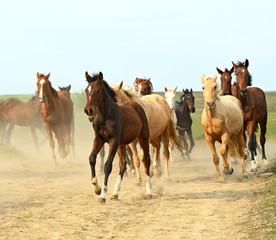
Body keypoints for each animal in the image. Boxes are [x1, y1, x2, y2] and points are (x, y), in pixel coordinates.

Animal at [84, 71, 153, 202]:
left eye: (98, 90)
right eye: (86, 90)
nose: (88, 111)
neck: (105, 117)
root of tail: (137, 104)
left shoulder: (113, 141)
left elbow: (108, 165)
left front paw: (102, 195)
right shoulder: (99, 139)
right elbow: (91, 158)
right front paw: (97, 188)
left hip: (143, 139)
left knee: (146, 160)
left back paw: (148, 191)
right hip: (122, 144)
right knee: (123, 163)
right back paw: (115, 193)